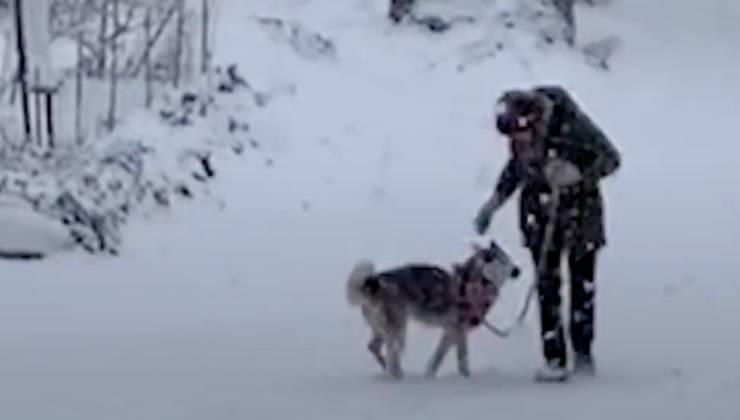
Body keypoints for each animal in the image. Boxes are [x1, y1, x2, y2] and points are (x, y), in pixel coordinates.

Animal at [346, 240, 520, 380]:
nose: (517, 270)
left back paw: (387, 370)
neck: (477, 282)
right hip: (399, 331)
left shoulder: (450, 333)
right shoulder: (459, 332)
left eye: (508, 258)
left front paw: (429, 376)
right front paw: (466, 379)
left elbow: (436, 358)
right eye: (503, 261)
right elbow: (462, 360)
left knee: (373, 347)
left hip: (382, 330)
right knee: (393, 354)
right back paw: (398, 377)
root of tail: (373, 283)